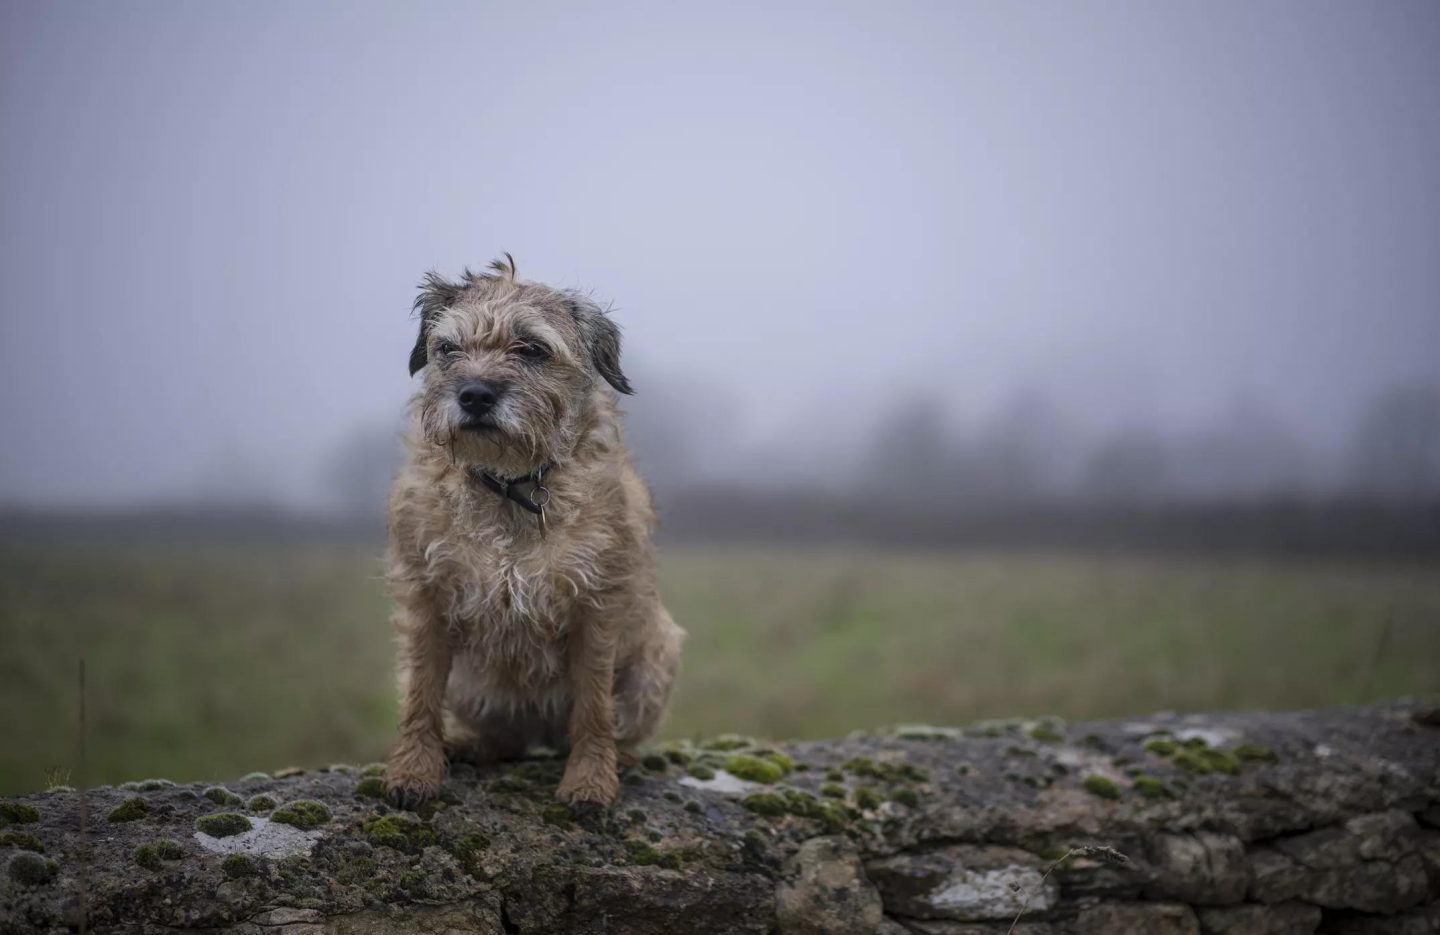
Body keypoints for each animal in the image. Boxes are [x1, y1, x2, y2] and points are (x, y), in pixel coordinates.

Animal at [385, 256, 682, 806]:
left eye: (532, 349)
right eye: (448, 348)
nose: (474, 394)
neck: (511, 487)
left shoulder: (597, 607)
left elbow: (593, 706)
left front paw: (590, 780)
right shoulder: (425, 597)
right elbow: (419, 693)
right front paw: (413, 771)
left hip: (658, 654)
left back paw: (621, 758)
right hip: (472, 688)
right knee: (507, 740)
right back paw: (471, 746)